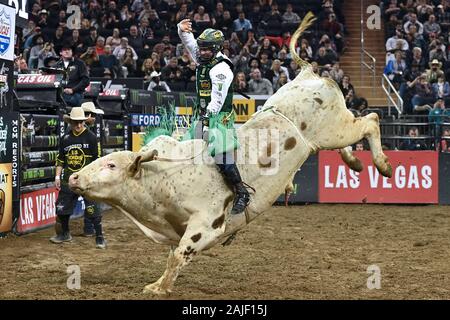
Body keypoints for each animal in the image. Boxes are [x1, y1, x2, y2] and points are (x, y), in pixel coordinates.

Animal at [66, 15, 390, 296]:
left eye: (111, 164)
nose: (74, 177)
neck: (162, 179)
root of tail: (308, 75)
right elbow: (173, 255)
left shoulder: (207, 224)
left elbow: (180, 254)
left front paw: (159, 288)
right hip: (331, 133)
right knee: (352, 133)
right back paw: (354, 162)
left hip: (335, 129)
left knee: (370, 120)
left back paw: (383, 165)